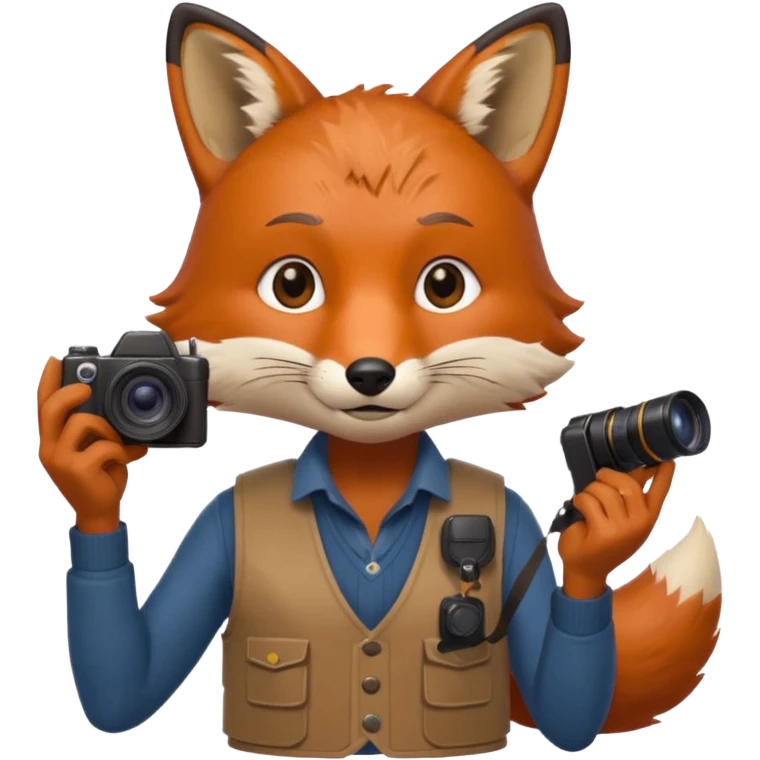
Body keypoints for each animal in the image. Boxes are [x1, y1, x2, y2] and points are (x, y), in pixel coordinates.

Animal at [41, 0, 722, 752]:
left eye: (444, 285)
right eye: (292, 285)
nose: (370, 372)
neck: (370, 475)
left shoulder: (517, 521)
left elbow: (567, 712)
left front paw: (609, 525)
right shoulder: (215, 527)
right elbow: (129, 688)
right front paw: (88, 475)